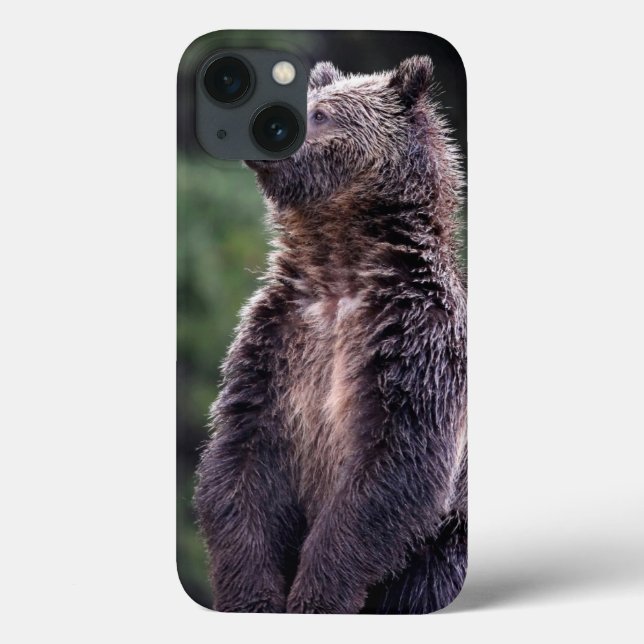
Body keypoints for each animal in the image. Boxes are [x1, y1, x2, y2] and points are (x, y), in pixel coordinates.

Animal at [194, 56, 467, 614]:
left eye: (319, 114)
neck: (340, 266)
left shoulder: (414, 343)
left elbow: (392, 469)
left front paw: (318, 594)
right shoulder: (276, 343)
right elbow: (239, 465)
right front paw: (253, 596)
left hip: (442, 552)